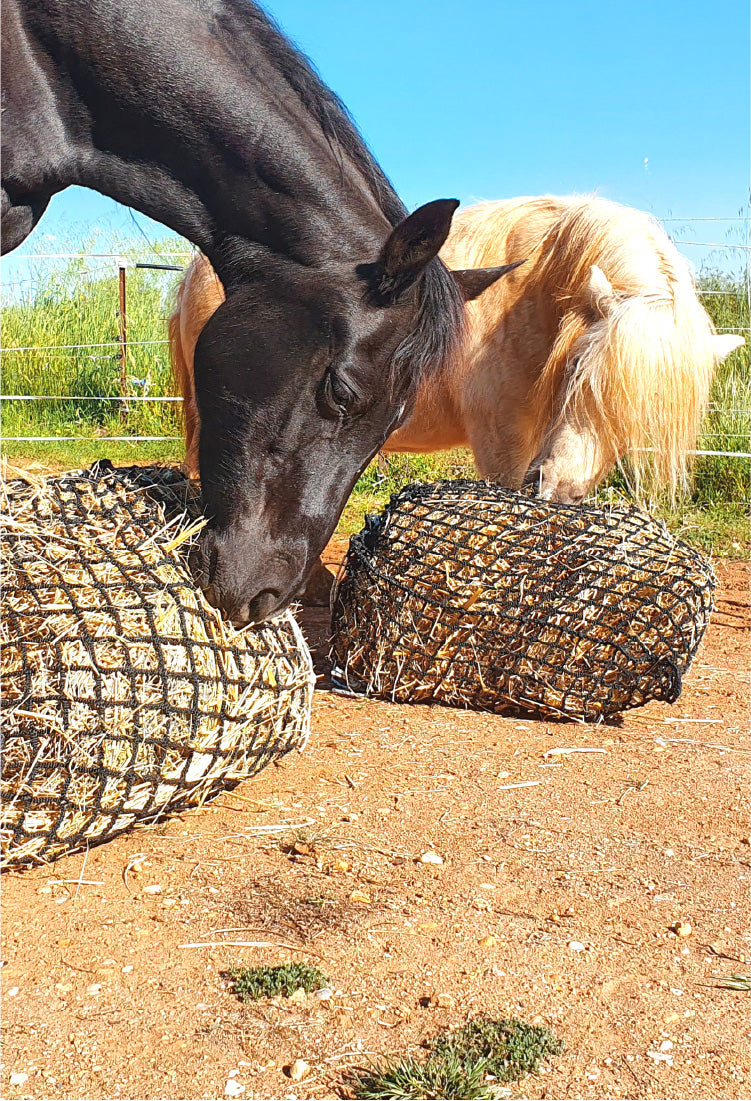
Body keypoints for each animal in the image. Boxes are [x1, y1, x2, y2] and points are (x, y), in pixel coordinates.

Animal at [168, 197, 735, 504]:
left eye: (642, 415)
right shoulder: (504, 449)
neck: (534, 288)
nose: (558, 490)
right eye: (577, 370)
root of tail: (194, 268)